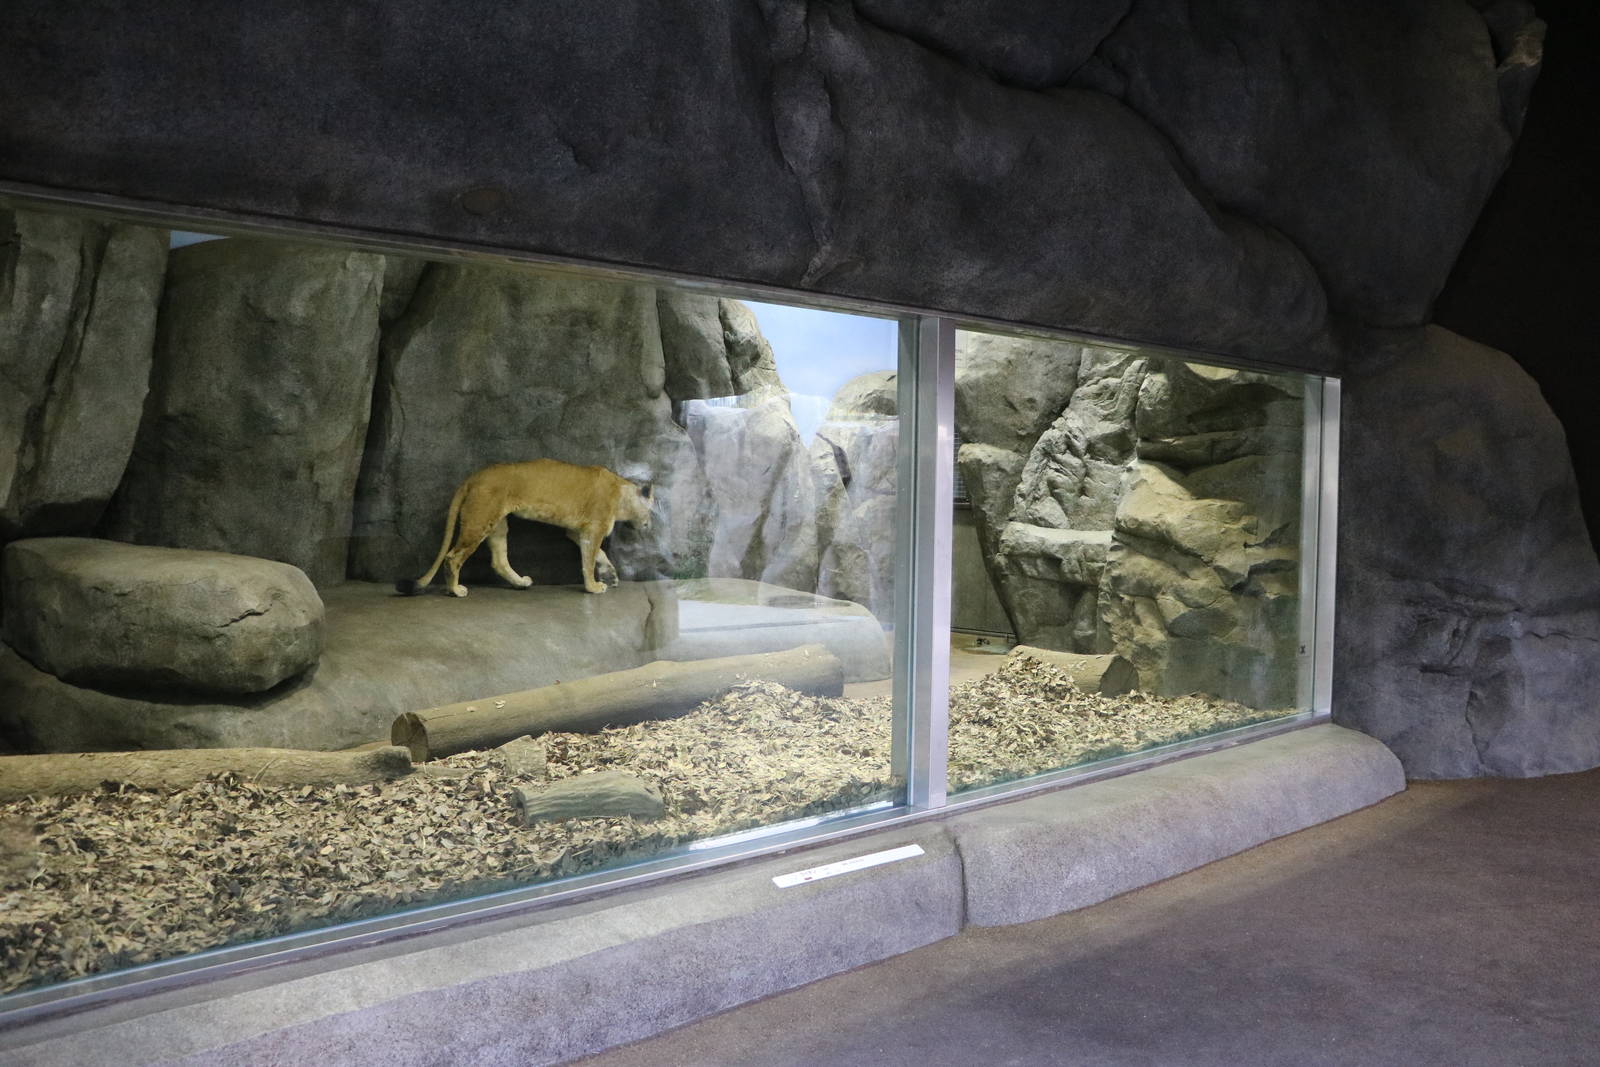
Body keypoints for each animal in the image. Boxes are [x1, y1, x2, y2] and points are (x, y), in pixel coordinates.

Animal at [396, 459, 653, 597]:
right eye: (652, 508)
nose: (649, 524)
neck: (621, 493)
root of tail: (474, 477)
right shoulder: (593, 528)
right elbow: (589, 559)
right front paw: (593, 587)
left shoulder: (576, 530)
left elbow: (599, 554)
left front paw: (611, 575)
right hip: (480, 520)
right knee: (452, 556)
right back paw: (455, 590)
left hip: (497, 524)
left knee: (498, 561)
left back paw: (521, 582)